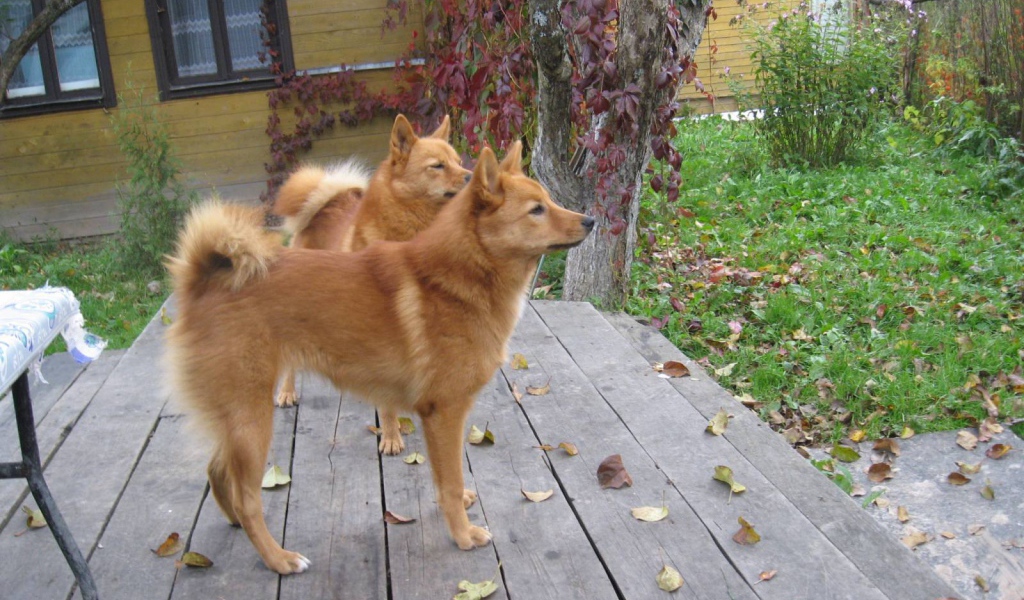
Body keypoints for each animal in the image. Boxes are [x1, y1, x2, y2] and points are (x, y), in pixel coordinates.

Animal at [271, 114, 470, 456]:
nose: (472, 176)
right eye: (437, 166)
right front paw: (391, 436)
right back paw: (286, 391)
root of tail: (325, 202)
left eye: (457, 161)